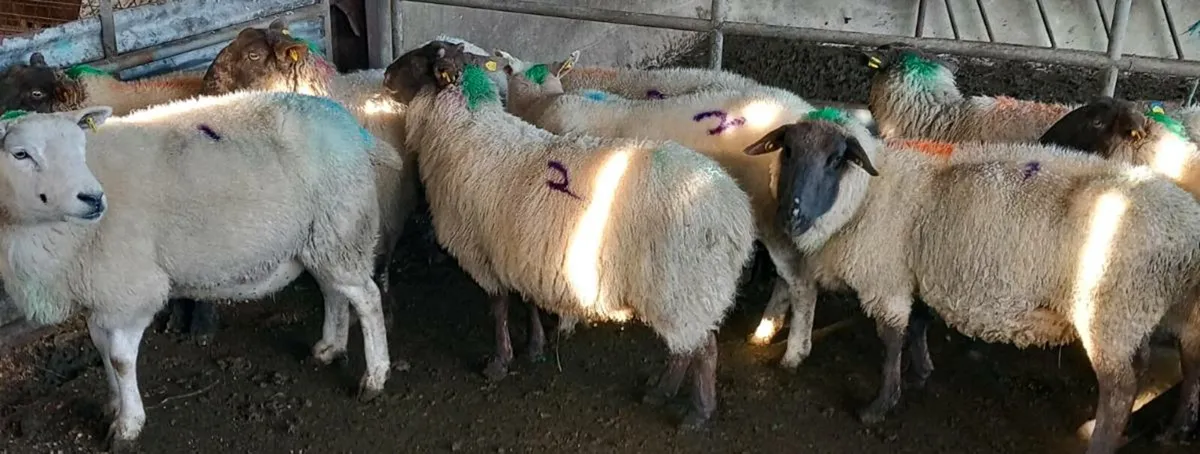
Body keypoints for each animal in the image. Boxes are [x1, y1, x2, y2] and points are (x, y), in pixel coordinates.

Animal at [0, 91, 399, 450]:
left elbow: (120, 360)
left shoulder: (132, 290)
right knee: (334, 291)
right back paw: (329, 347)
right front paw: (113, 404)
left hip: (342, 225)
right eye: (20, 153)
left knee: (366, 298)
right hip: (322, 238)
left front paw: (128, 425)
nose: (93, 199)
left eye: (80, 148)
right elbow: (101, 351)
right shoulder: (102, 291)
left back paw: (375, 377)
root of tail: (351, 124)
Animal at [383, 41, 756, 428]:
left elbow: (498, 308)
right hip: (684, 291)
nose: (384, 76)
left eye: (419, 61)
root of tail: (736, 212)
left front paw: (499, 362)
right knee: (687, 347)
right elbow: (526, 300)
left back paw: (696, 412)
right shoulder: (519, 247)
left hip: (683, 287)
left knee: (703, 349)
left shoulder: (482, 250)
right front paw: (535, 347)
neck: (464, 130)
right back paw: (660, 391)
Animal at [502, 60, 829, 360]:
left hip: (775, 217)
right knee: (787, 280)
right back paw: (767, 331)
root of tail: (802, 111)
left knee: (800, 283)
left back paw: (794, 350)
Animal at [748, 110, 1200, 453]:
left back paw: (1099, 441)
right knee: (1177, 365)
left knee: (1122, 388)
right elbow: (918, 323)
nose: (790, 215)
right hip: (1151, 312)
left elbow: (890, 340)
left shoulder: (885, 277)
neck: (868, 194)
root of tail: (1185, 228)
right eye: (787, 151)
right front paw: (921, 371)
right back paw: (1170, 430)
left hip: (1110, 312)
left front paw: (880, 405)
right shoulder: (917, 270)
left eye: (836, 159)